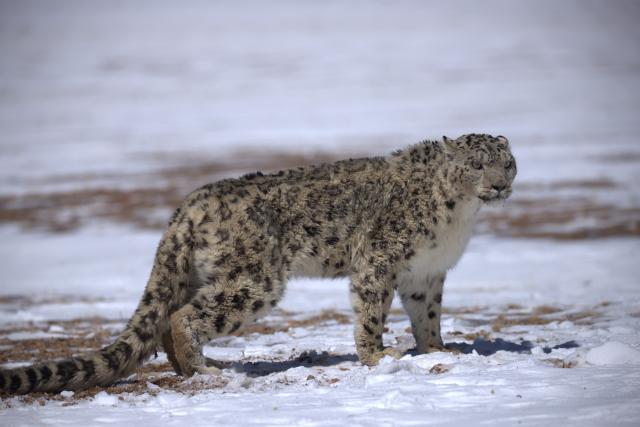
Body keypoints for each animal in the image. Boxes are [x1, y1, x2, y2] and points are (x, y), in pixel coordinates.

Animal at [0, 133, 516, 394]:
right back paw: (203, 368)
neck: (458, 219)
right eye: (475, 164)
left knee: (167, 315)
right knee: (183, 315)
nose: (498, 185)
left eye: (506, 161)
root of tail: (189, 206)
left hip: (207, 275)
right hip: (255, 281)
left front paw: (437, 350)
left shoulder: (426, 272)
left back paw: (193, 366)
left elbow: (427, 316)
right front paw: (378, 356)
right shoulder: (378, 261)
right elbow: (370, 313)